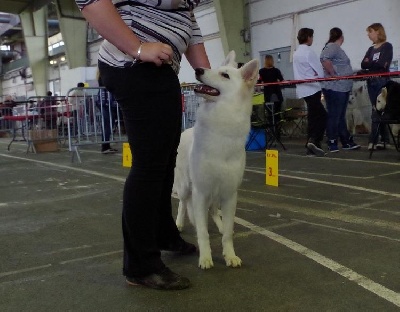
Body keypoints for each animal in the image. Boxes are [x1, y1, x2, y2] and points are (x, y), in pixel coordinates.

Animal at [173, 51, 258, 268]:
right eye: (214, 69)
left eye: (225, 75)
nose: (198, 70)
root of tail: (186, 130)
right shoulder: (200, 191)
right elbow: (202, 231)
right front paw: (205, 257)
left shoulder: (229, 193)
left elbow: (227, 232)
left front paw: (230, 255)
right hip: (186, 186)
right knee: (183, 203)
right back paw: (179, 222)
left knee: (213, 211)